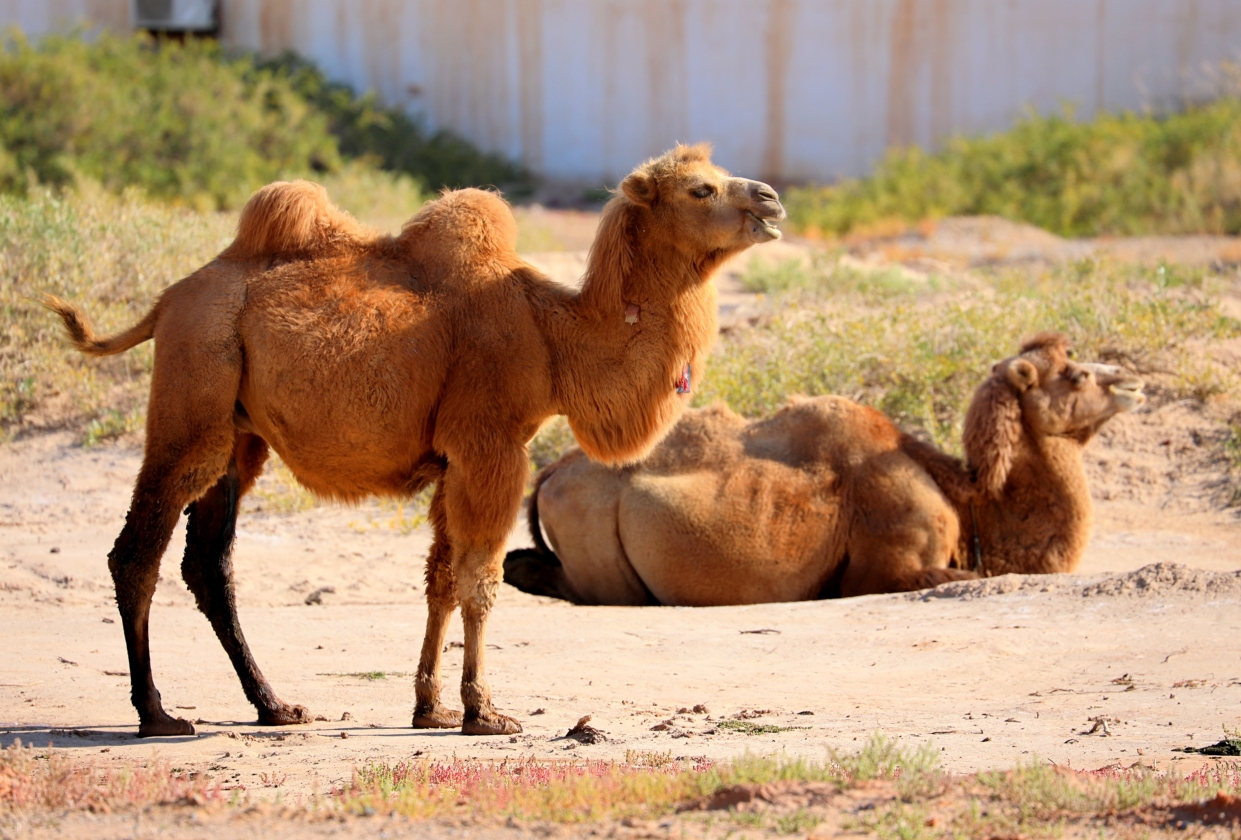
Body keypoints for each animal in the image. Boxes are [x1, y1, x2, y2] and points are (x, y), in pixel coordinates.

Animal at [48, 143, 784, 734]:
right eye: (702, 189)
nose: (771, 199)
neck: (552, 338)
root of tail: (168, 300)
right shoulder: (492, 447)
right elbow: (480, 579)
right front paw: (484, 712)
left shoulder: (453, 461)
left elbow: (440, 579)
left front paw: (430, 707)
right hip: (193, 397)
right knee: (136, 553)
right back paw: (157, 714)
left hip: (237, 435)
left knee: (208, 562)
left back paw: (274, 706)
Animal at [501, 332, 1141, 603]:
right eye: (1076, 374)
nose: (1131, 380)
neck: (970, 505)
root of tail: (551, 472)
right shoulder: (888, 566)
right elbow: (973, 577)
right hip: (596, 541)